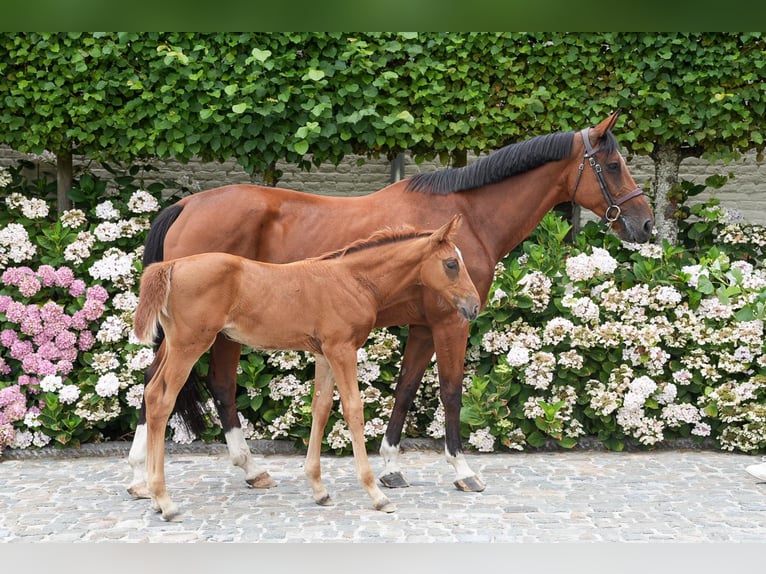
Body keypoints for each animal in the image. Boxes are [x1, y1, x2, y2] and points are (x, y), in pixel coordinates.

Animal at [131, 215, 480, 520]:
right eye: (452, 264)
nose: (474, 305)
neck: (354, 280)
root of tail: (170, 266)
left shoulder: (324, 353)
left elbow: (321, 408)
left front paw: (319, 490)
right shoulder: (342, 349)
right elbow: (353, 410)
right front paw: (376, 495)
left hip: (174, 346)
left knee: (150, 391)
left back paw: (153, 497)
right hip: (189, 345)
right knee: (162, 400)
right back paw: (166, 502)